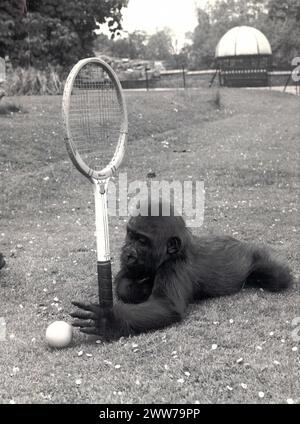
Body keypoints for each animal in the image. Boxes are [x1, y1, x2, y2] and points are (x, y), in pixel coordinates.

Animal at [72, 202, 292, 342]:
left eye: (142, 241)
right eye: (130, 236)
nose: (128, 253)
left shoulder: (175, 268)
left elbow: (165, 306)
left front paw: (110, 321)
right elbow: (123, 282)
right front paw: (139, 287)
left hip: (256, 256)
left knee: (278, 276)